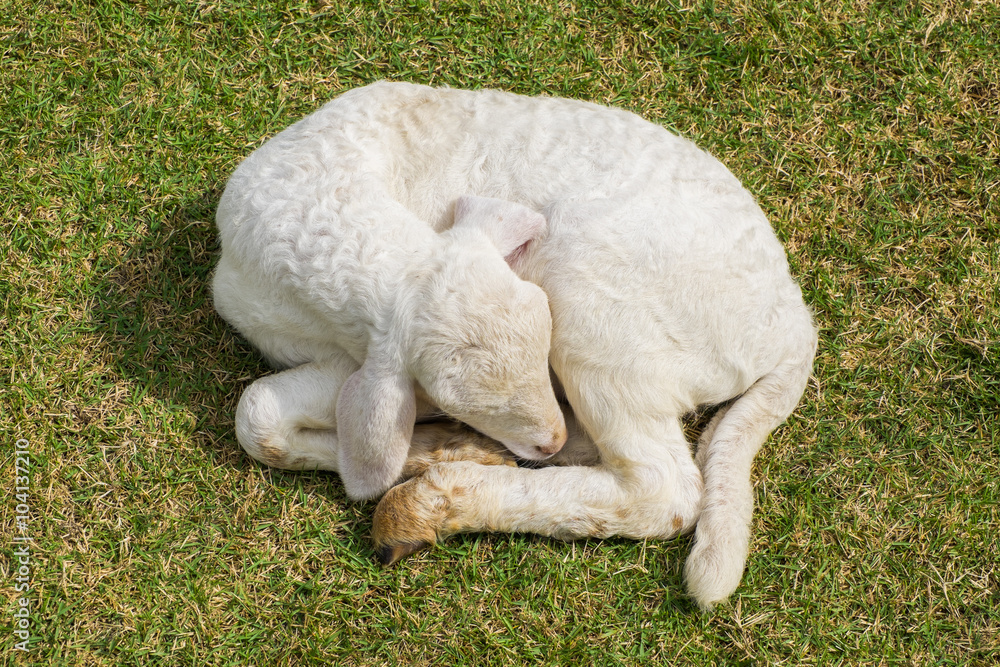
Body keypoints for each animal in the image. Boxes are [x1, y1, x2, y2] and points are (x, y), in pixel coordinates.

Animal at [215, 82, 817, 610]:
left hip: (603, 316)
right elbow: (266, 417)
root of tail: (793, 328)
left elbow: (259, 409)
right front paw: (443, 444)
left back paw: (430, 503)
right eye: (449, 397)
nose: (548, 441)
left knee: (662, 490)